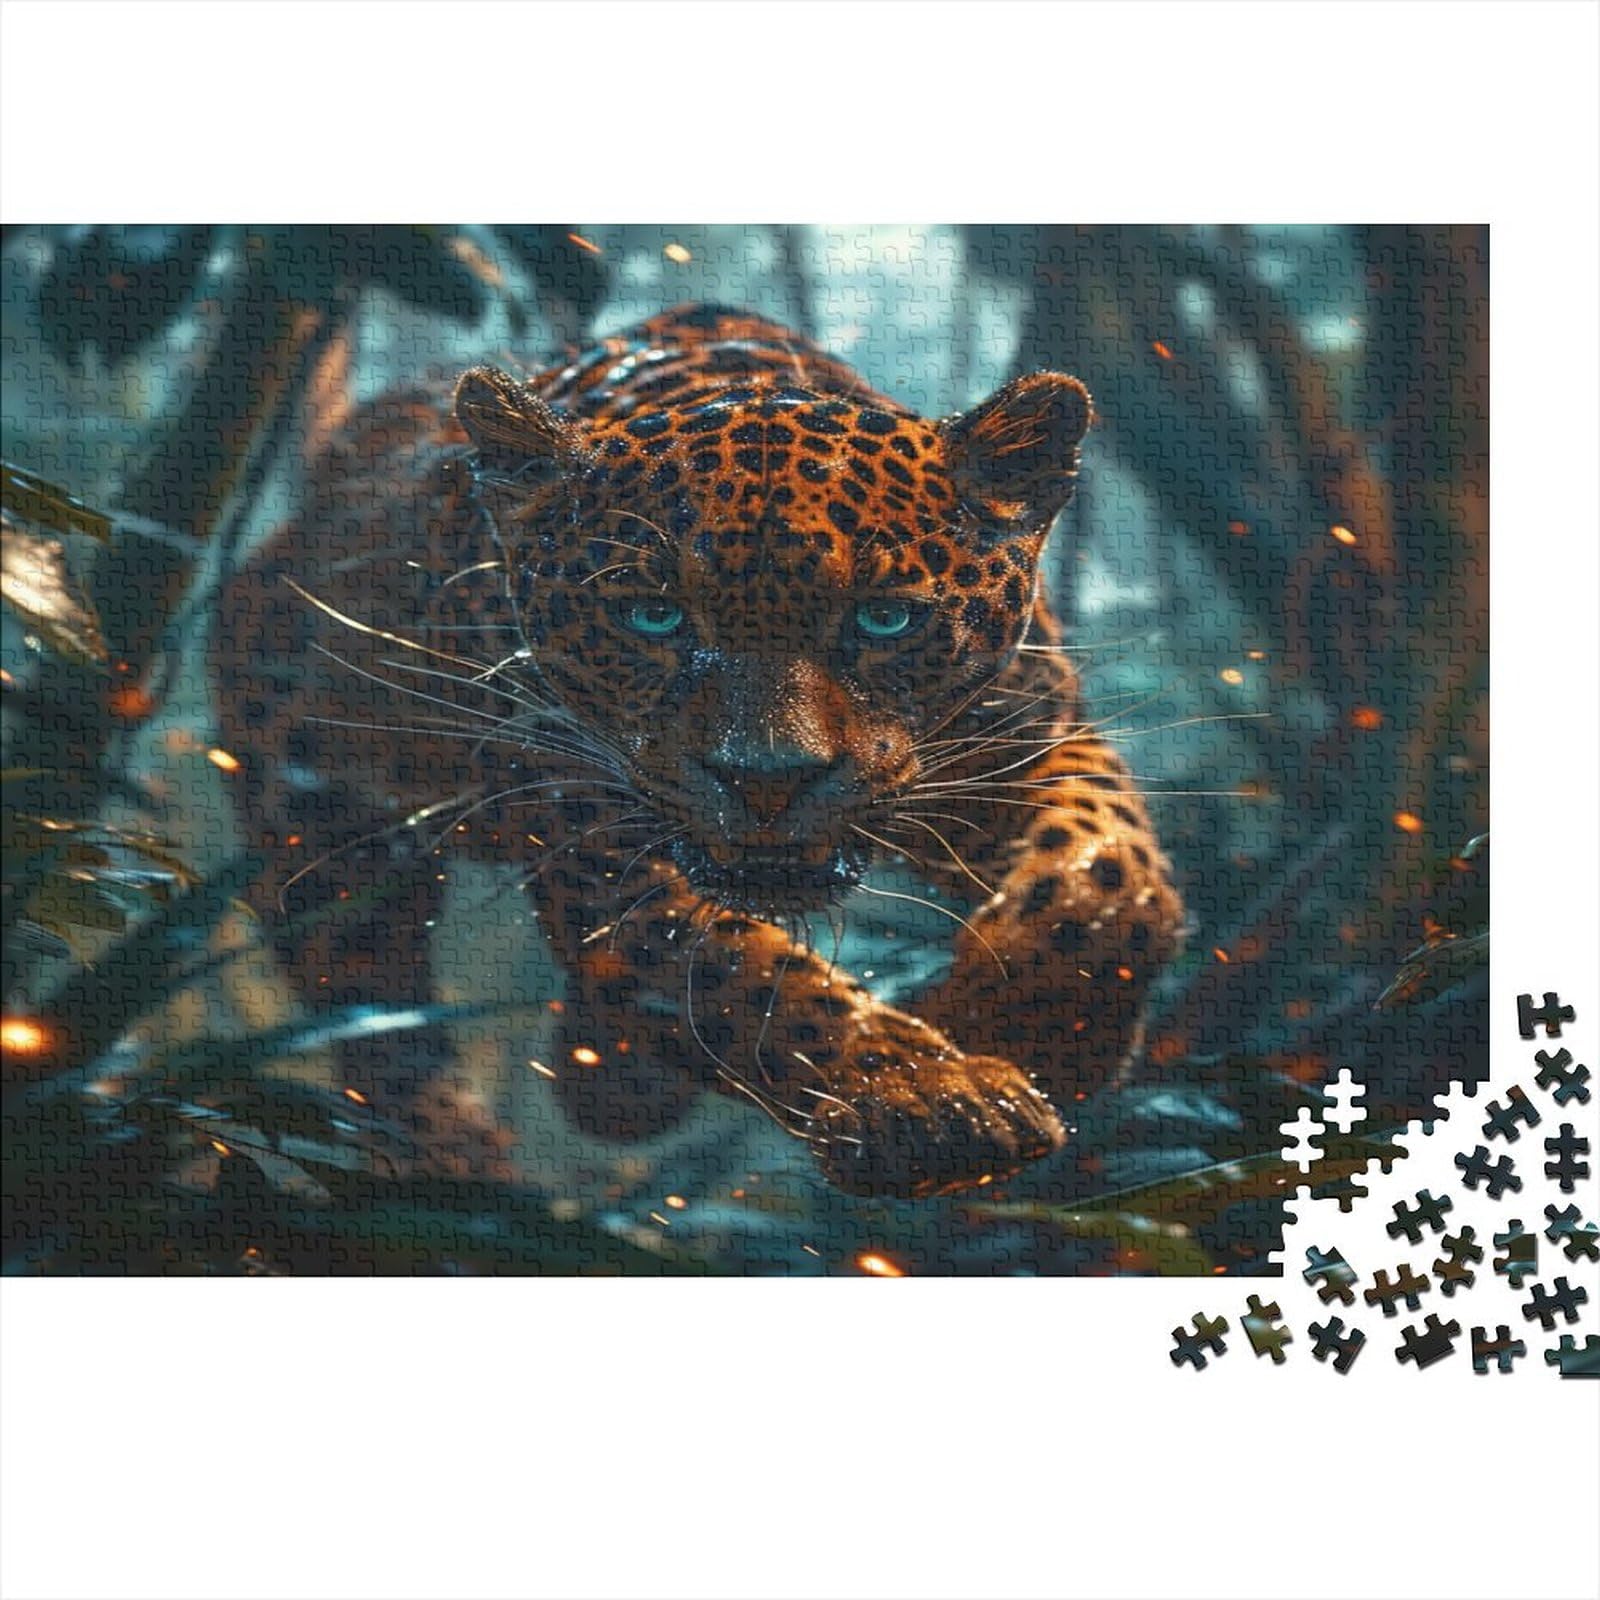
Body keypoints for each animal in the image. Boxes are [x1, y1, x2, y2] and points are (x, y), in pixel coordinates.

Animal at [212, 303, 1185, 1197]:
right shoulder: (597, 842)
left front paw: (1020, 1030)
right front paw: (925, 1095)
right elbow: (741, 974)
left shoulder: (1036, 741)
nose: (767, 782)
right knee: (365, 992)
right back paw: (459, 1155)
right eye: (654, 616)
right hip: (321, 818)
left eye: (884, 619)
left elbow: (1115, 884)